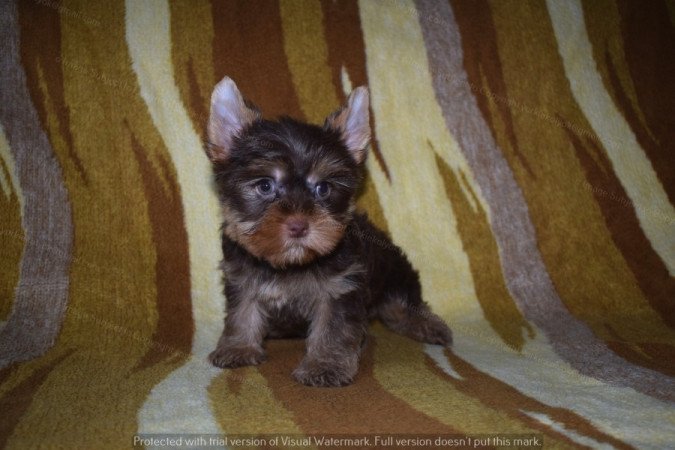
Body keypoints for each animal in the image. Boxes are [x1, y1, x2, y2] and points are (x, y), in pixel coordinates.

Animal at [203, 77, 452, 386]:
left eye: (323, 188)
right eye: (265, 185)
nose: (299, 225)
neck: (290, 263)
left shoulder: (339, 287)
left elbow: (333, 327)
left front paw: (325, 365)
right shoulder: (242, 277)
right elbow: (242, 312)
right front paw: (238, 347)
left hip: (395, 275)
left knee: (405, 305)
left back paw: (427, 324)